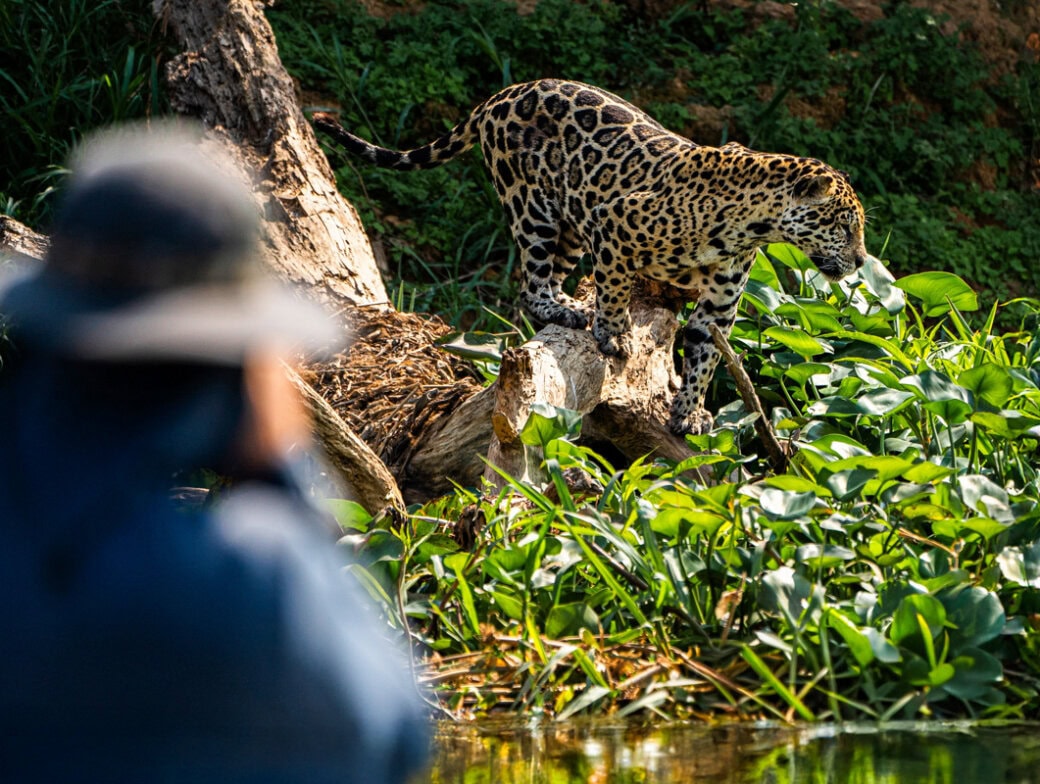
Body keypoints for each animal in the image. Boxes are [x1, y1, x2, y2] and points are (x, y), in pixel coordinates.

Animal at [313, 79, 869, 436]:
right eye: (846, 224)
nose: (863, 261)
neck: (751, 222)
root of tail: (503, 93)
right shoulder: (614, 221)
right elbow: (616, 287)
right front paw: (614, 333)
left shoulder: (718, 304)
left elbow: (707, 357)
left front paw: (689, 412)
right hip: (534, 207)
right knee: (532, 286)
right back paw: (569, 312)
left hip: (568, 226)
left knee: (545, 282)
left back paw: (569, 306)